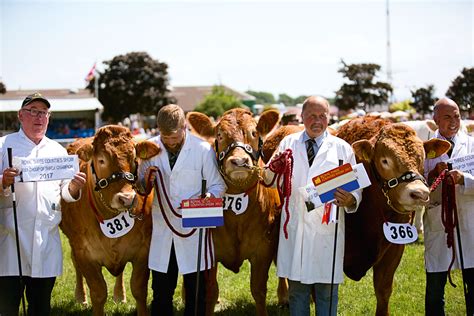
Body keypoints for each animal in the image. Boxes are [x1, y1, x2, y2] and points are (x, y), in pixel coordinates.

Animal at [60, 126, 160, 316]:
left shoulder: (144, 249)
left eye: (134, 159)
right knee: (75, 264)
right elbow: (98, 293)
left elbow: (139, 289)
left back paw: (120, 295)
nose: (126, 198)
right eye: (101, 160)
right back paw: (80, 297)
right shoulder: (84, 252)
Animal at [188, 109, 286, 316]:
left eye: (254, 133)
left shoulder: (264, 249)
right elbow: (211, 291)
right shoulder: (210, 251)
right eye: (219, 135)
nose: (239, 161)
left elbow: (258, 289)